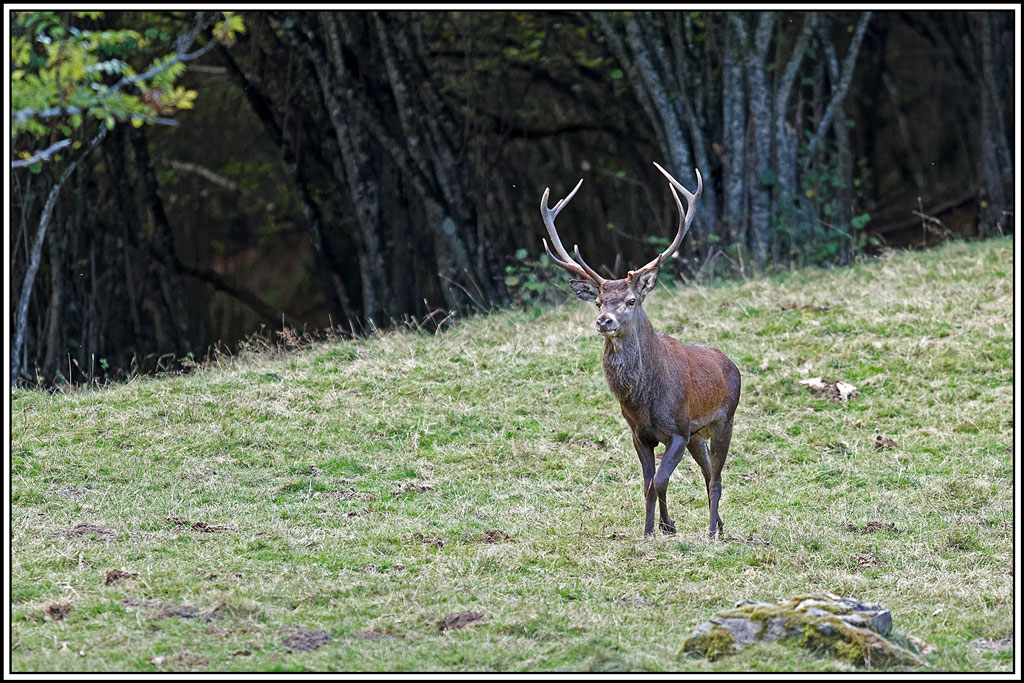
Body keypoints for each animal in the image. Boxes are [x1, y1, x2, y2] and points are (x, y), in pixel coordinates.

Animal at [539, 163, 741, 539]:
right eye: (599, 301)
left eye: (631, 300)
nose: (604, 320)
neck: (643, 399)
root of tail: (731, 364)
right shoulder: (640, 434)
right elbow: (647, 484)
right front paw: (651, 530)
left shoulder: (677, 430)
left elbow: (660, 481)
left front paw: (668, 526)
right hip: (698, 435)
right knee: (708, 472)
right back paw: (719, 524)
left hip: (724, 420)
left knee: (717, 477)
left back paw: (710, 532)